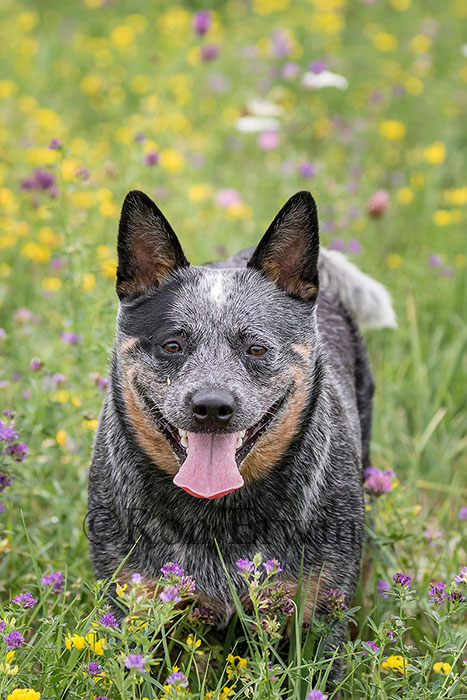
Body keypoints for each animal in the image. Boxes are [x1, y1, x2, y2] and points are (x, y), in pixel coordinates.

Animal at [87, 191, 394, 680]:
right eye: (172, 345)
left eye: (256, 348)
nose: (212, 406)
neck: (219, 516)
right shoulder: (133, 606)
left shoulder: (319, 613)